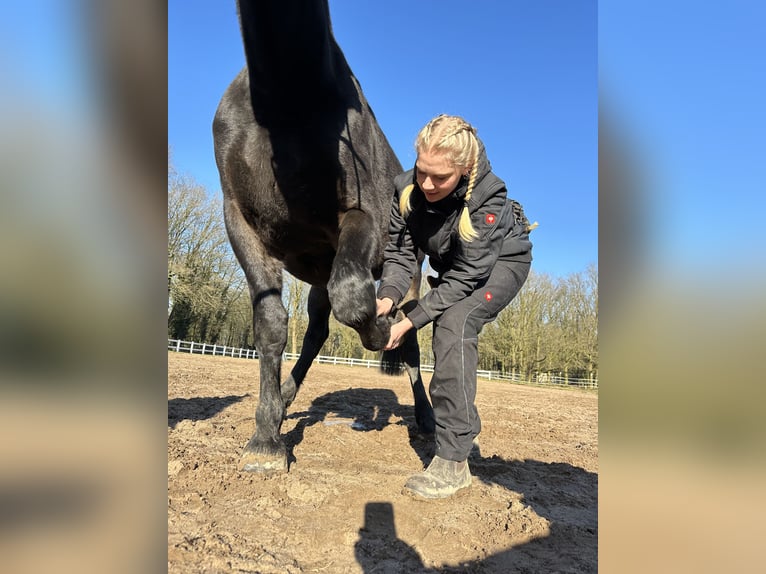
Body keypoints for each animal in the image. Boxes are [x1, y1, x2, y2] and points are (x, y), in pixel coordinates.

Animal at [213, 0, 434, 473]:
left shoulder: (361, 217)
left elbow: (356, 299)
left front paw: (379, 327)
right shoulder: (239, 221)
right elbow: (271, 324)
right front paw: (265, 439)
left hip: (407, 277)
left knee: (409, 345)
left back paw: (425, 414)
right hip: (317, 278)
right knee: (316, 331)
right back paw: (286, 398)